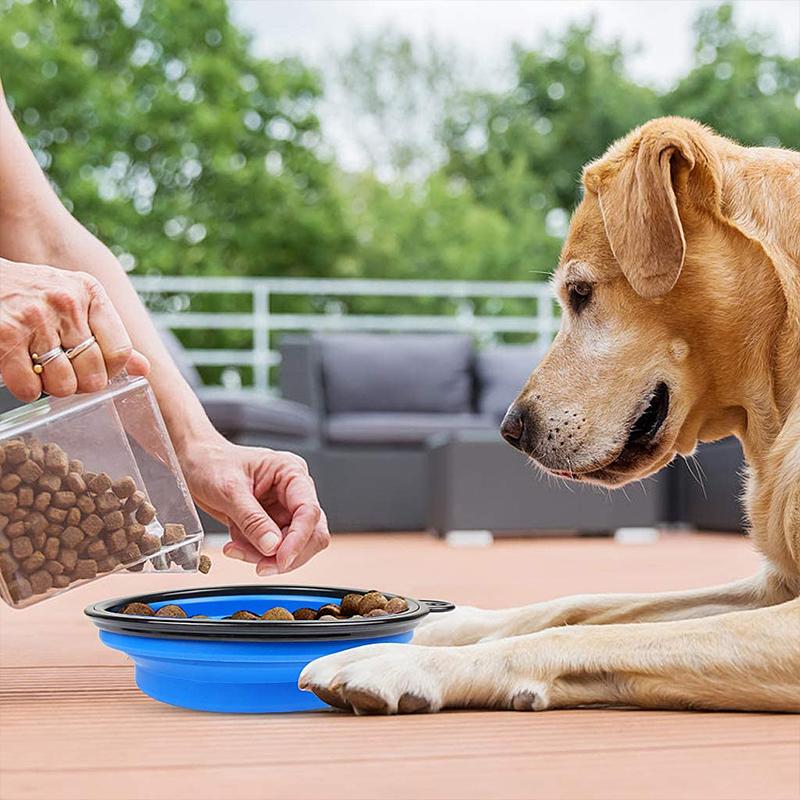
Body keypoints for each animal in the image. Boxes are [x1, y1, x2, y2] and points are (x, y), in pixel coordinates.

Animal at [302, 117, 800, 712]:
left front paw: (404, 662)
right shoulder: (774, 586)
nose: (510, 430)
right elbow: (577, 605)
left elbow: (589, 634)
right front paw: (438, 627)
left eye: (580, 292)